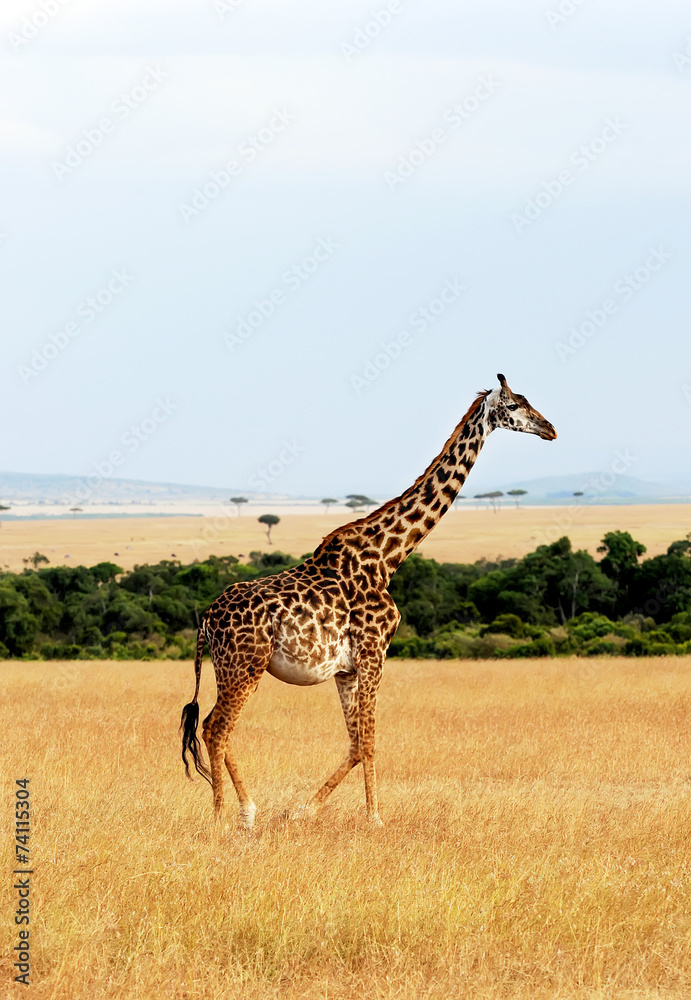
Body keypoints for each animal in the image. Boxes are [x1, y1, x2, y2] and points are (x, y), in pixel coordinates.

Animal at [180, 374, 556, 828]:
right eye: (515, 405)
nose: (550, 429)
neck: (387, 556)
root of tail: (206, 618)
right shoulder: (375, 651)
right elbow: (372, 740)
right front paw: (375, 818)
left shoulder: (346, 668)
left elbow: (356, 743)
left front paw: (302, 810)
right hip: (244, 666)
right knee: (216, 727)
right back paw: (222, 817)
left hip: (234, 668)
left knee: (217, 728)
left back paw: (248, 811)